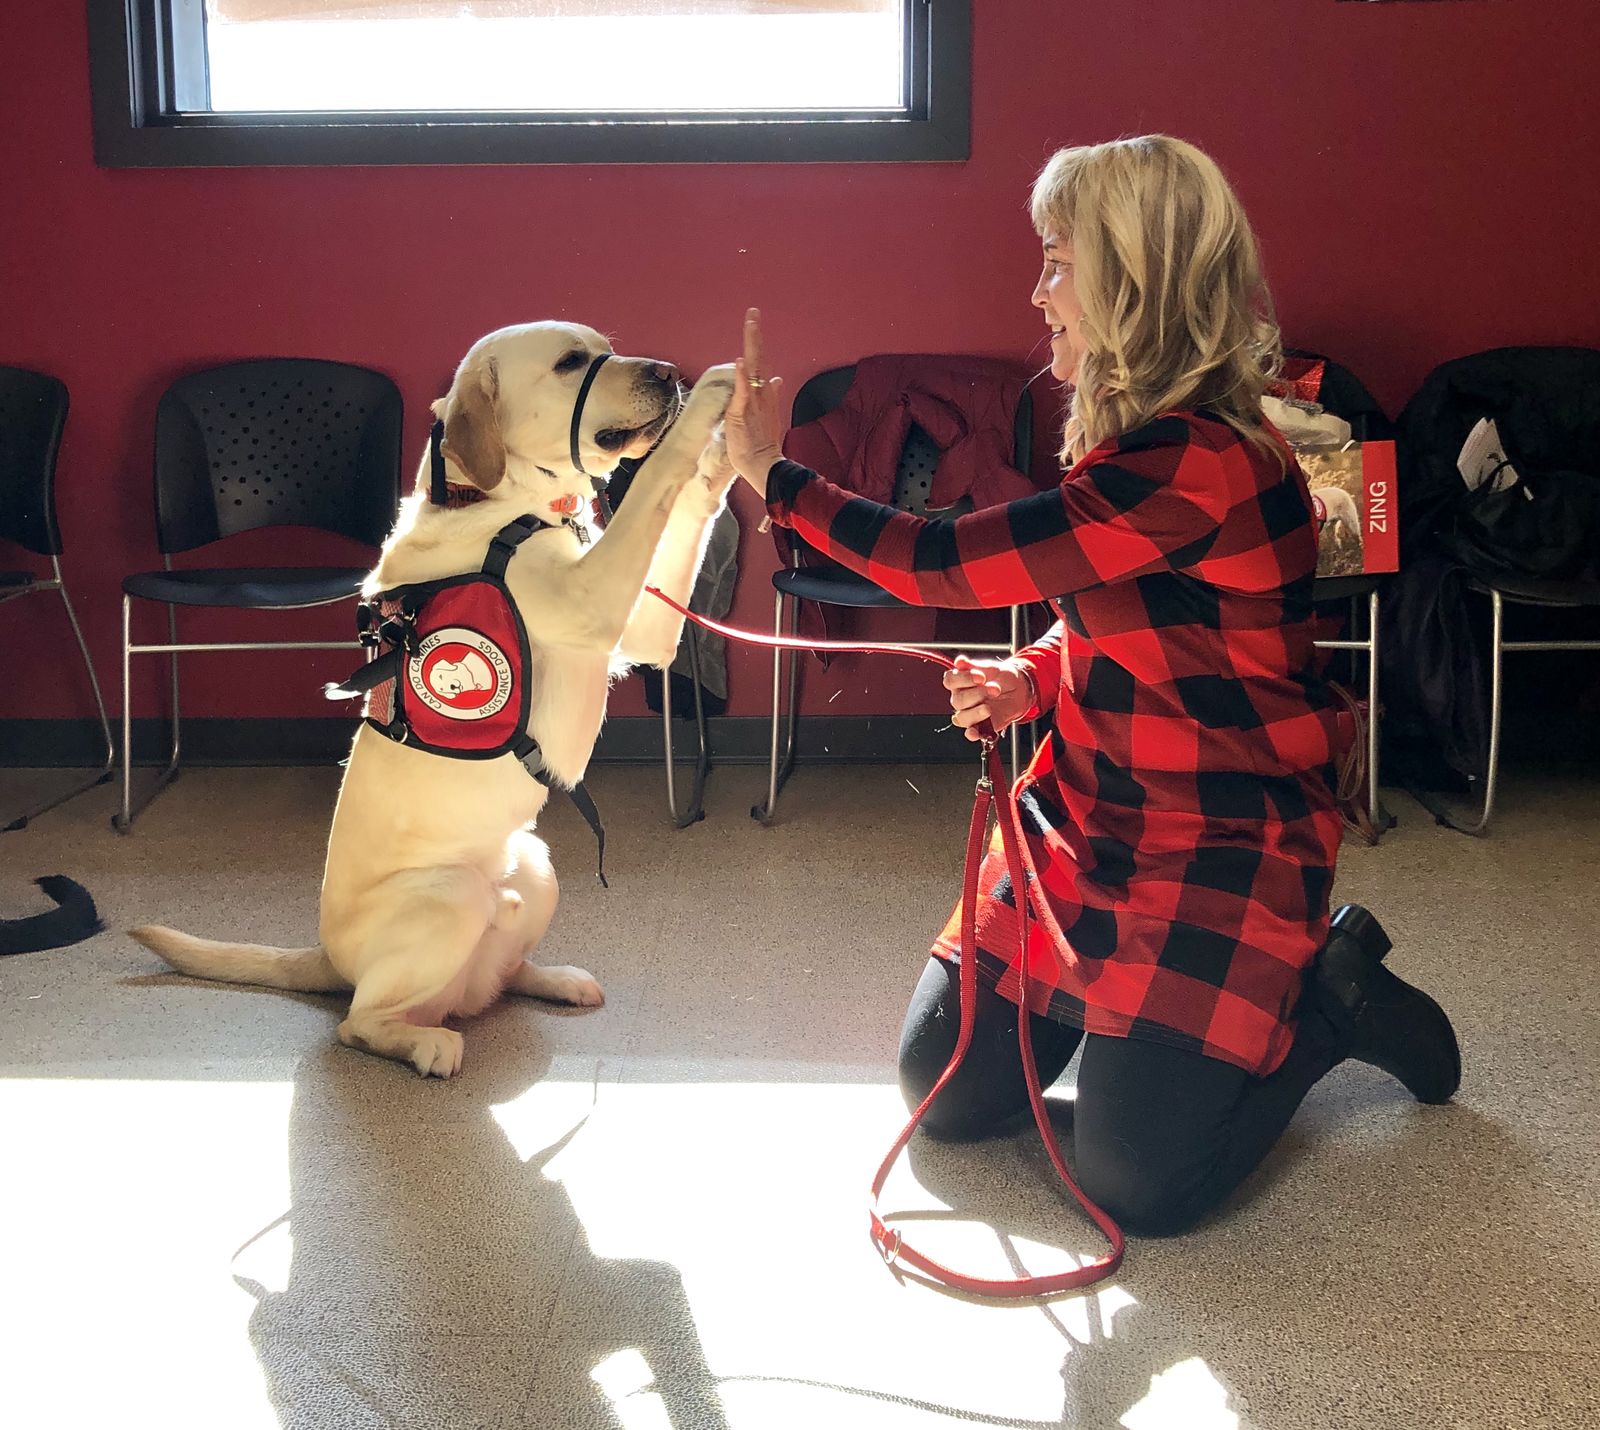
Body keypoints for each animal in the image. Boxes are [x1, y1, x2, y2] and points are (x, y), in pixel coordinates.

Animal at [137, 324, 736, 1081]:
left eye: (606, 345)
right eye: (571, 362)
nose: (666, 372)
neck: (493, 504)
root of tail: (329, 958)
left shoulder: (645, 628)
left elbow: (683, 511)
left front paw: (724, 452)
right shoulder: (593, 598)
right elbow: (654, 486)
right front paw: (707, 406)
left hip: (536, 865)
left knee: (496, 979)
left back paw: (554, 979)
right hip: (448, 898)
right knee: (360, 1023)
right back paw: (425, 1043)